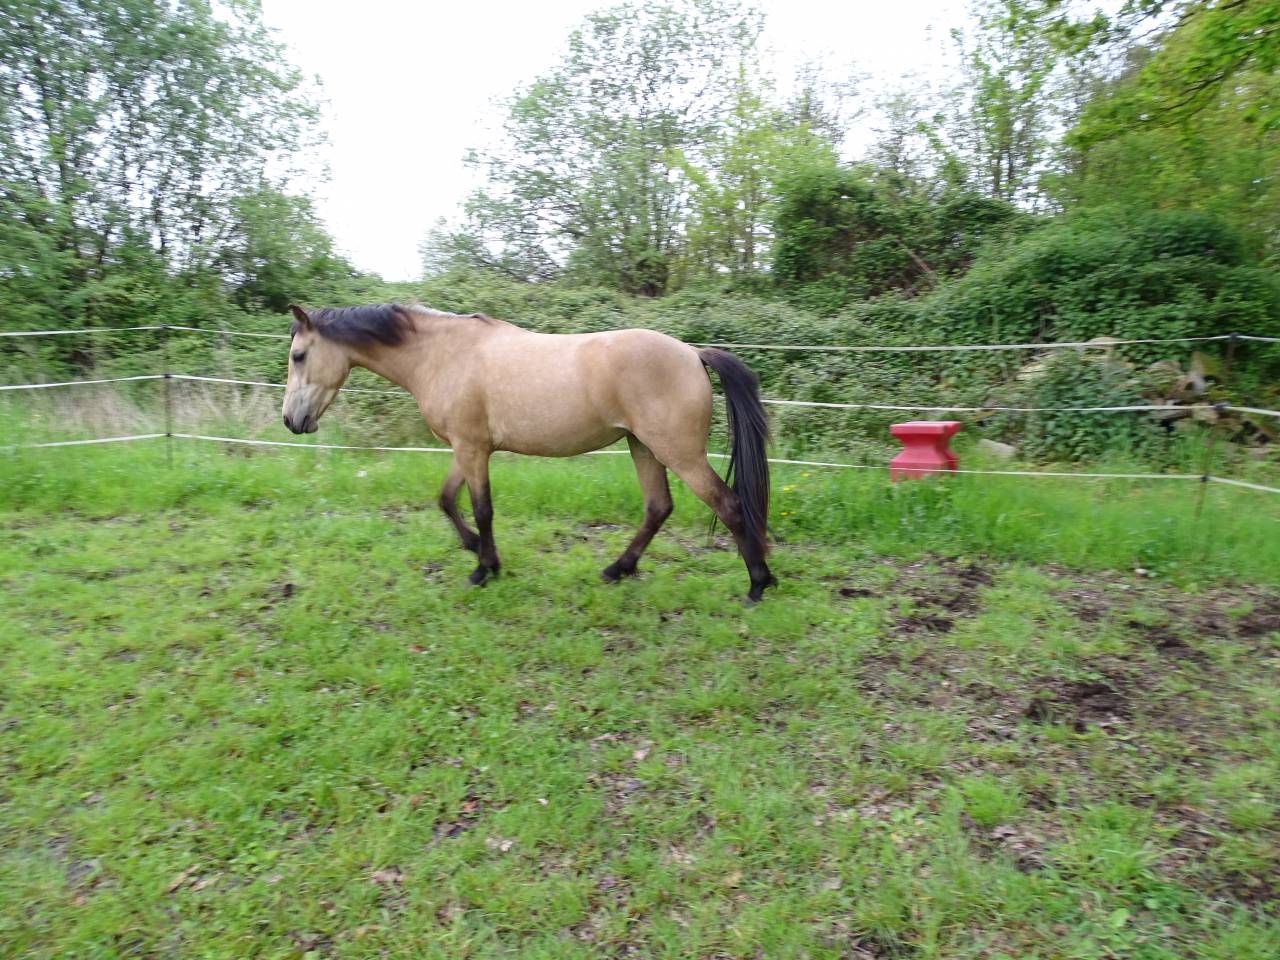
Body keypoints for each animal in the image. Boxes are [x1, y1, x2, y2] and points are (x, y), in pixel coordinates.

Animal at [281, 303, 776, 601]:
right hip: (644, 447)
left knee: (729, 505)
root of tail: (693, 353)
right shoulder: (466, 448)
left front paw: (483, 569)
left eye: (299, 355)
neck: (441, 354)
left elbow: (481, 508)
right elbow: (447, 500)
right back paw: (617, 569)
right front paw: (479, 551)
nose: (291, 420)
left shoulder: (472, 448)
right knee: (658, 507)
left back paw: (758, 584)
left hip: (677, 452)